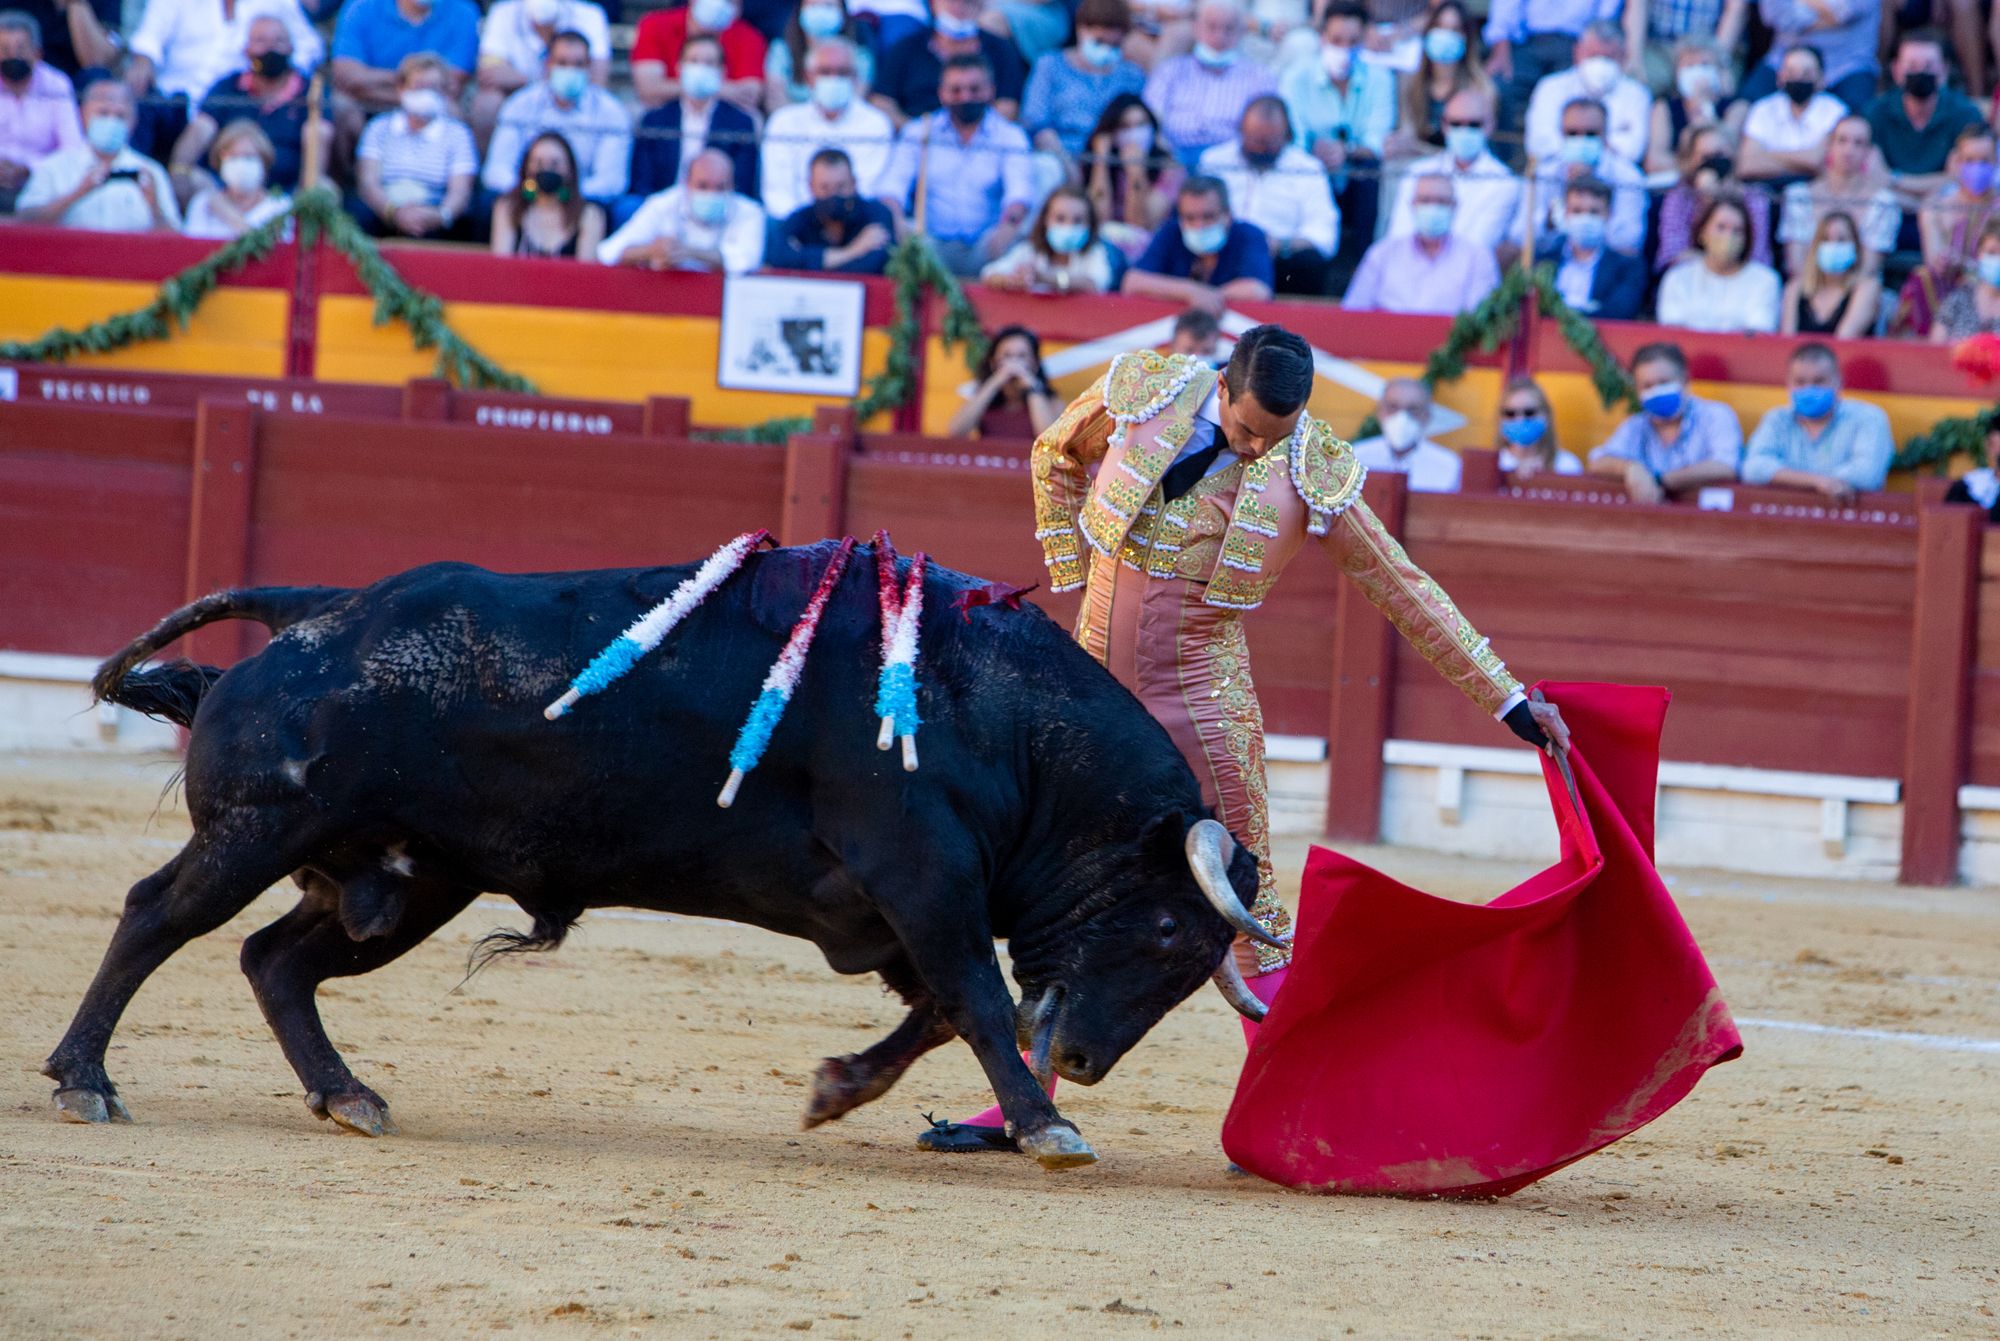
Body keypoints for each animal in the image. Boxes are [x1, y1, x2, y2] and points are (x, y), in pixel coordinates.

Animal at [47, 540, 1272, 1168]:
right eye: (1171, 925)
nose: (1091, 1062)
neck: (989, 712)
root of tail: (324, 607)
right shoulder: (920, 877)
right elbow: (974, 997)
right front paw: (1046, 1124)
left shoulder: (889, 910)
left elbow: (937, 1011)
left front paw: (837, 1090)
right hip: (260, 828)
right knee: (156, 914)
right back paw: (84, 1081)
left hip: (406, 880)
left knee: (276, 961)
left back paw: (348, 1095)